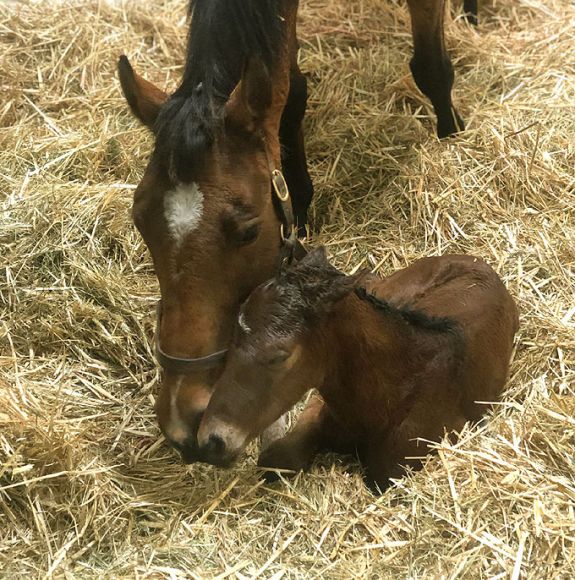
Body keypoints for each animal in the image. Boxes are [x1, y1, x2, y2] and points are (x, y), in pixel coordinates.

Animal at [196, 247, 520, 492]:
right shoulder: (317, 407)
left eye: (279, 356)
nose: (211, 442)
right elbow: (276, 459)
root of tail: (473, 260)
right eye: (232, 340)